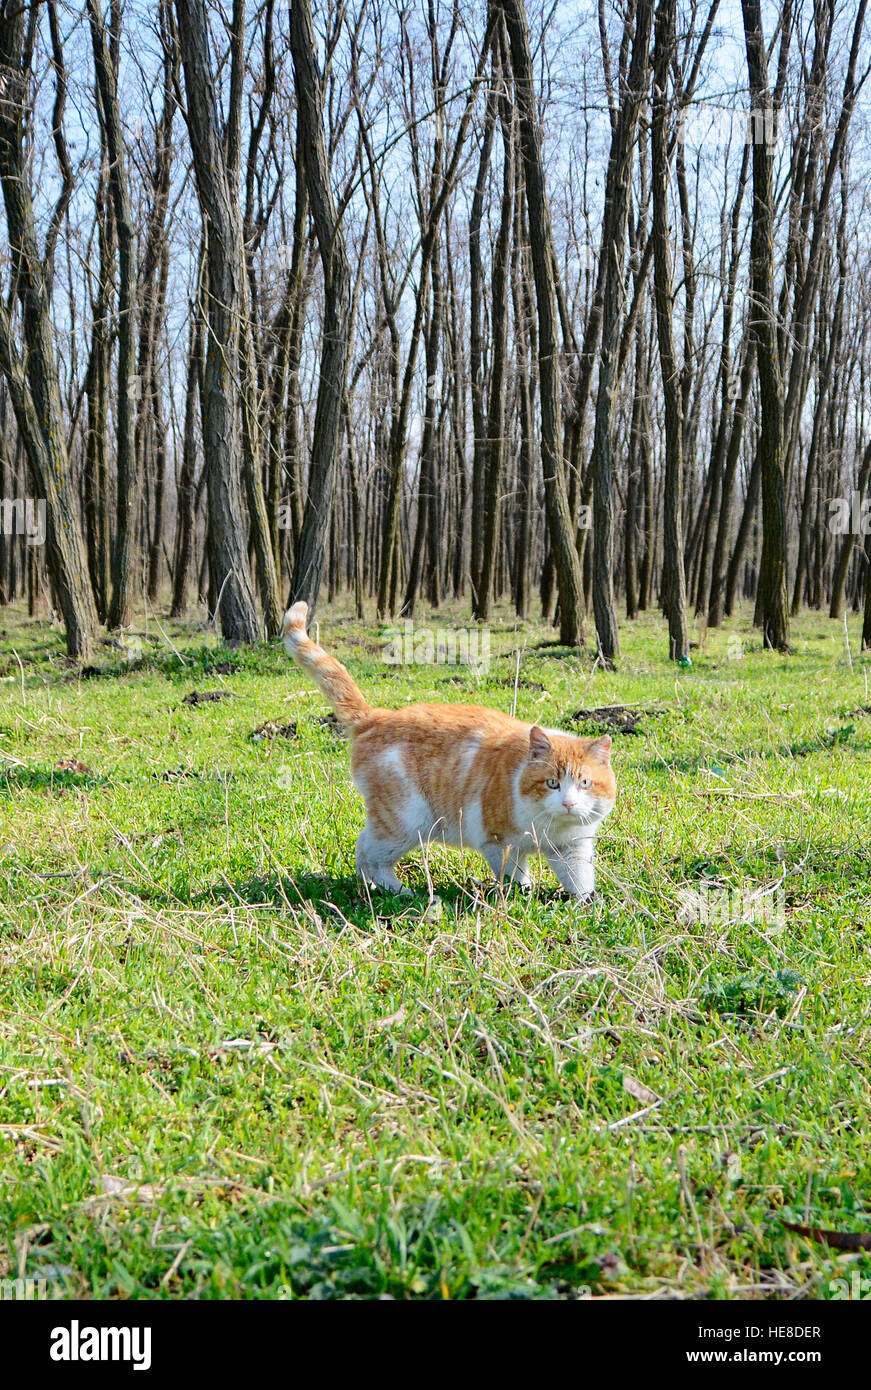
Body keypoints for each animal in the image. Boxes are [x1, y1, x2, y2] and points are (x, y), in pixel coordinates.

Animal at [283, 606, 616, 900]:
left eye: (585, 783)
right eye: (552, 783)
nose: (568, 803)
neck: (551, 828)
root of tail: (377, 716)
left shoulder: (572, 850)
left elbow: (579, 880)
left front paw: (588, 902)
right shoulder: (498, 843)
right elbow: (515, 876)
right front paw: (519, 895)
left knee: (364, 847)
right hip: (407, 821)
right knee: (369, 854)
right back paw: (399, 892)